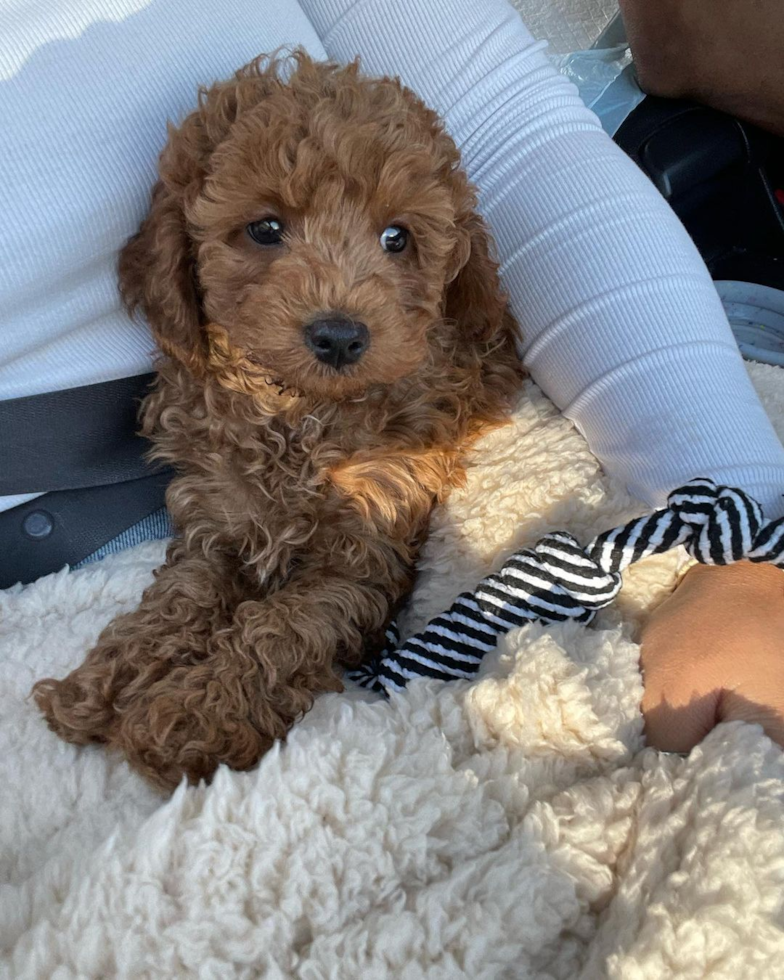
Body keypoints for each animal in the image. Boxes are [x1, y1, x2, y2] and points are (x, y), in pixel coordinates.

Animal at [32, 51, 520, 788]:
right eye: (265, 229)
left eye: (398, 238)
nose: (341, 336)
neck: (296, 413)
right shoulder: (215, 519)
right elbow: (181, 597)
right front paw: (108, 679)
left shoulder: (363, 556)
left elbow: (281, 628)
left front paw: (189, 717)